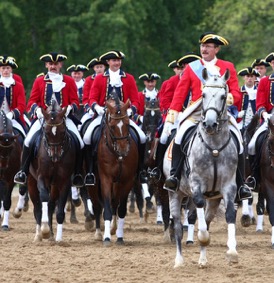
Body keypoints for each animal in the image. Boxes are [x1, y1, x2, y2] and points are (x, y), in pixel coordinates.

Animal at [27, 101, 76, 243]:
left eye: (63, 131)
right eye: (46, 131)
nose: (55, 157)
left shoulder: (64, 181)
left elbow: (59, 211)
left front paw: (58, 238)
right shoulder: (41, 178)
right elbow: (43, 199)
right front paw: (44, 230)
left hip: (54, 185)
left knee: (51, 205)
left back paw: (52, 235)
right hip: (31, 182)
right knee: (38, 207)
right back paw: (39, 235)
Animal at [97, 92, 138, 244]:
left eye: (127, 123)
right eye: (113, 126)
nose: (123, 149)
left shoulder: (127, 181)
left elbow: (121, 209)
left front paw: (119, 236)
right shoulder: (106, 179)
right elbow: (108, 208)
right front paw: (107, 236)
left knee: (116, 204)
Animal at [164, 69, 239, 268]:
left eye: (223, 96)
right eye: (203, 94)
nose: (210, 124)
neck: (214, 147)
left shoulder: (229, 186)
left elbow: (230, 213)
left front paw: (232, 251)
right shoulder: (197, 184)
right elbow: (198, 209)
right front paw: (203, 237)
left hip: (213, 199)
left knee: (207, 219)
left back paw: (203, 259)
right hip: (175, 194)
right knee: (177, 226)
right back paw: (179, 260)